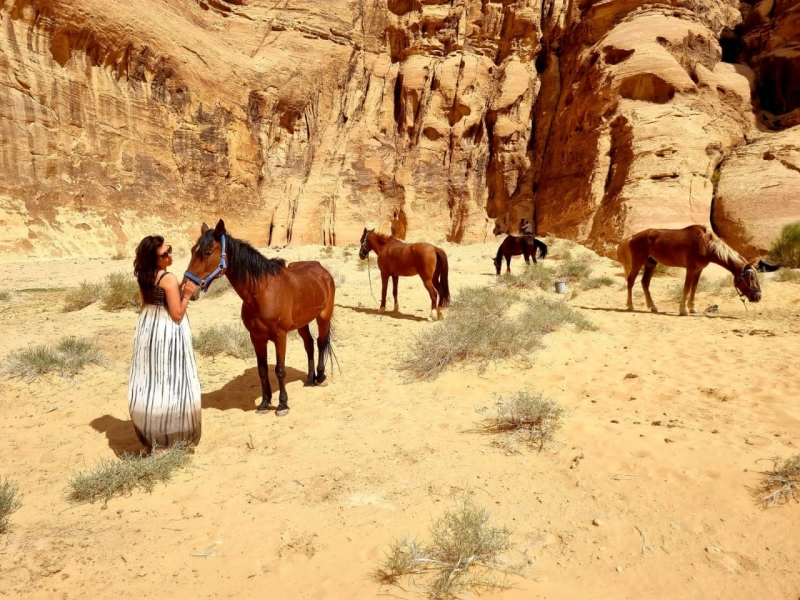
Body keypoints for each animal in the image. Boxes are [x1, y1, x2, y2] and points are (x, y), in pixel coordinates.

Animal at [184, 220, 334, 418]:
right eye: (193, 250)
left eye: (208, 252)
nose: (187, 288)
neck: (262, 292)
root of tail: (322, 270)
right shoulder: (256, 338)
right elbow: (262, 371)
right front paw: (264, 403)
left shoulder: (280, 336)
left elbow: (280, 370)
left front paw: (282, 405)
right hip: (302, 323)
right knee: (308, 344)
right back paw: (310, 379)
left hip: (323, 317)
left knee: (321, 342)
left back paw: (321, 378)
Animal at [620, 225, 764, 316]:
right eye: (751, 278)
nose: (757, 297)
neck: (707, 244)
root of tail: (632, 237)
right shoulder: (690, 268)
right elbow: (687, 287)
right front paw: (683, 310)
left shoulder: (699, 269)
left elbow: (694, 288)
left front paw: (692, 308)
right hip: (638, 262)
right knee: (631, 281)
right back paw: (630, 306)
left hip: (651, 263)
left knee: (645, 282)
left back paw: (653, 307)